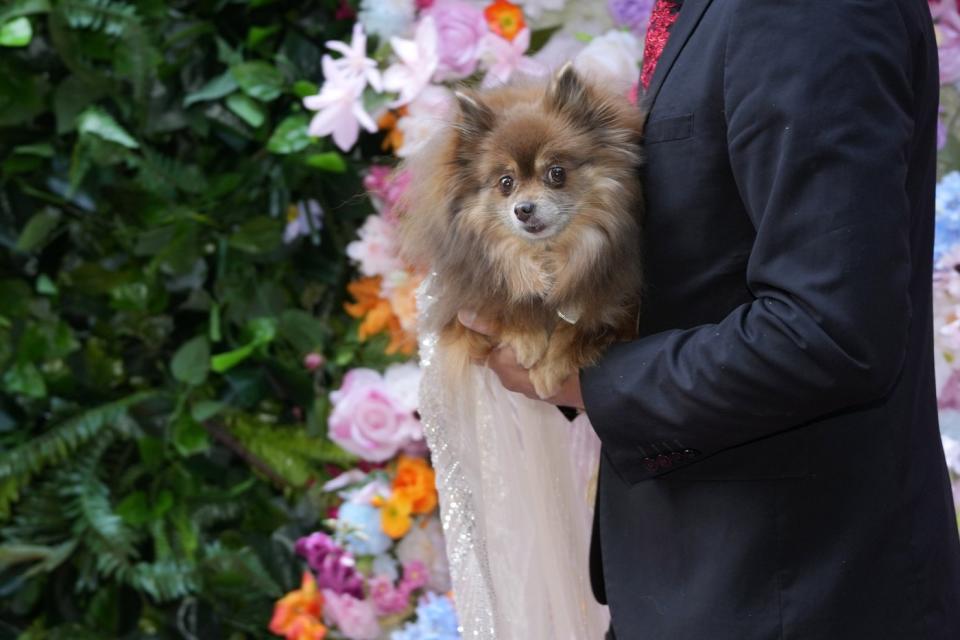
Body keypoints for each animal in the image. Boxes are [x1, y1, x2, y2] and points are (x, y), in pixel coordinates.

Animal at [398, 63, 644, 396]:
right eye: (506, 182)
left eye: (556, 173)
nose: (523, 209)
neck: (546, 255)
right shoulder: (462, 310)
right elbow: (506, 304)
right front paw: (528, 338)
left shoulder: (621, 309)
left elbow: (581, 325)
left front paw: (550, 368)